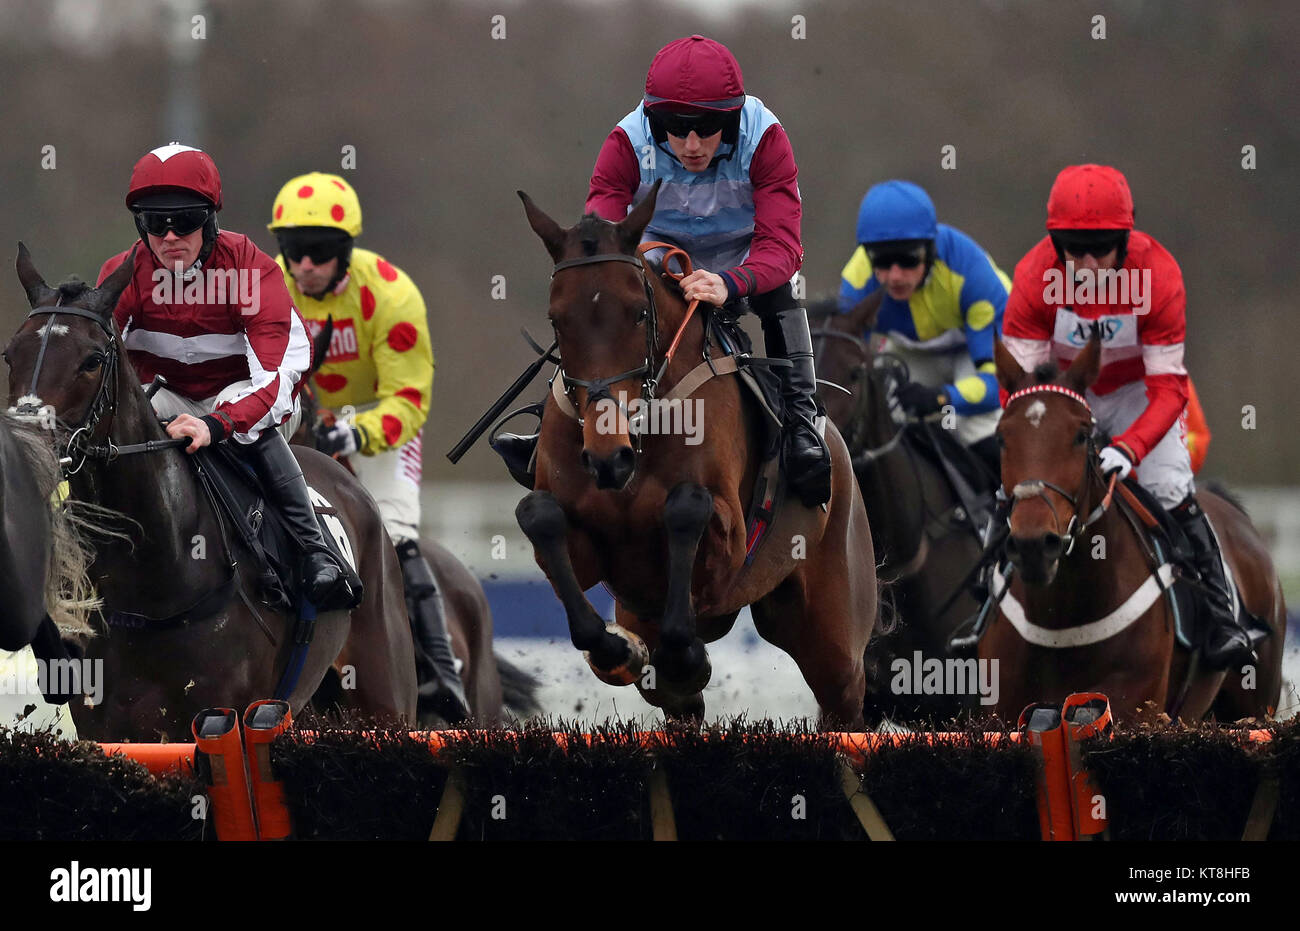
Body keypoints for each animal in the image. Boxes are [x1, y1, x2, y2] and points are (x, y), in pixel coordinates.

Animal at [3, 247, 416, 743]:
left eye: (92, 359)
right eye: (10, 355)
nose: (27, 446)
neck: (153, 573)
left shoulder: (226, 712)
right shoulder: (106, 722)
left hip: (385, 697)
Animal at [509, 185, 873, 728]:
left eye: (638, 312)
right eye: (557, 319)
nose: (608, 458)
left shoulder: (729, 541)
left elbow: (687, 507)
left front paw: (682, 659)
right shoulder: (597, 555)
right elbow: (540, 516)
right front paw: (623, 653)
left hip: (833, 638)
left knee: (842, 702)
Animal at [977, 338, 1284, 722]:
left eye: (1081, 435)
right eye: (1002, 437)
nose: (1034, 545)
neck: (1063, 619)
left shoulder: (1132, 705)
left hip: (1255, 701)